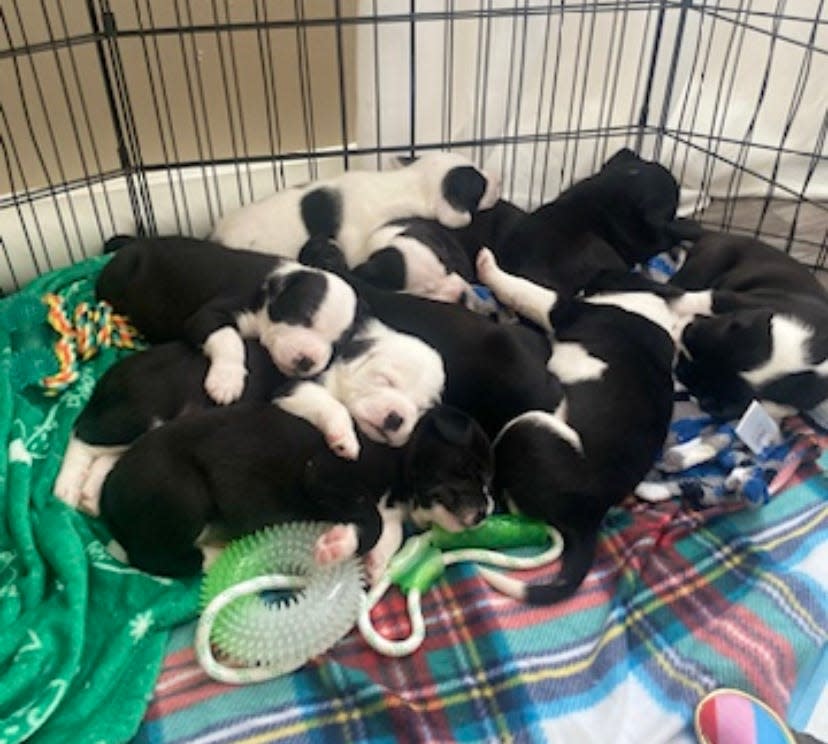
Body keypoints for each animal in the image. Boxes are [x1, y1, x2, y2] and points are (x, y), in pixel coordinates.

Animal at [100, 402, 494, 580]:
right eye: (470, 468)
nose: (485, 511)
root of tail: (107, 493)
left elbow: (389, 530)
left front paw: (375, 563)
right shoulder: (321, 473)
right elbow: (373, 521)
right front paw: (339, 544)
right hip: (186, 495)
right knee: (153, 558)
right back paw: (219, 553)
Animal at [472, 248, 680, 604]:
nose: (583, 283)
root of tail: (589, 520)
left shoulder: (560, 310)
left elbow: (525, 290)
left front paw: (488, 267)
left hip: (529, 426)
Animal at [668, 232, 828, 418]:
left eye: (682, 372)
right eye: (692, 331)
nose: (677, 332)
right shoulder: (732, 300)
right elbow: (692, 300)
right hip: (712, 259)